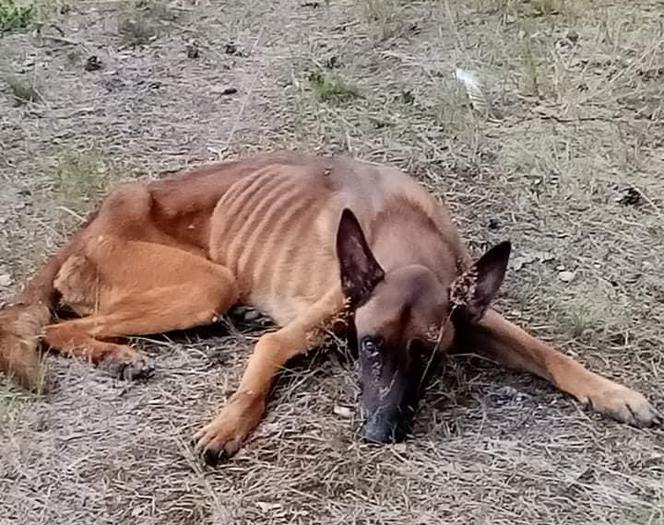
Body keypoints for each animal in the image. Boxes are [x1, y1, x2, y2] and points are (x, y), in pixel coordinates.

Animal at [0, 151, 660, 462]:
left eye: (428, 357)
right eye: (369, 346)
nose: (379, 434)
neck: (402, 231)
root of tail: (90, 224)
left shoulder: (473, 316)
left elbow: (550, 354)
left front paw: (615, 394)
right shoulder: (309, 325)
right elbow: (258, 373)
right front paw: (228, 425)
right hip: (208, 286)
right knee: (56, 332)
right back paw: (118, 357)